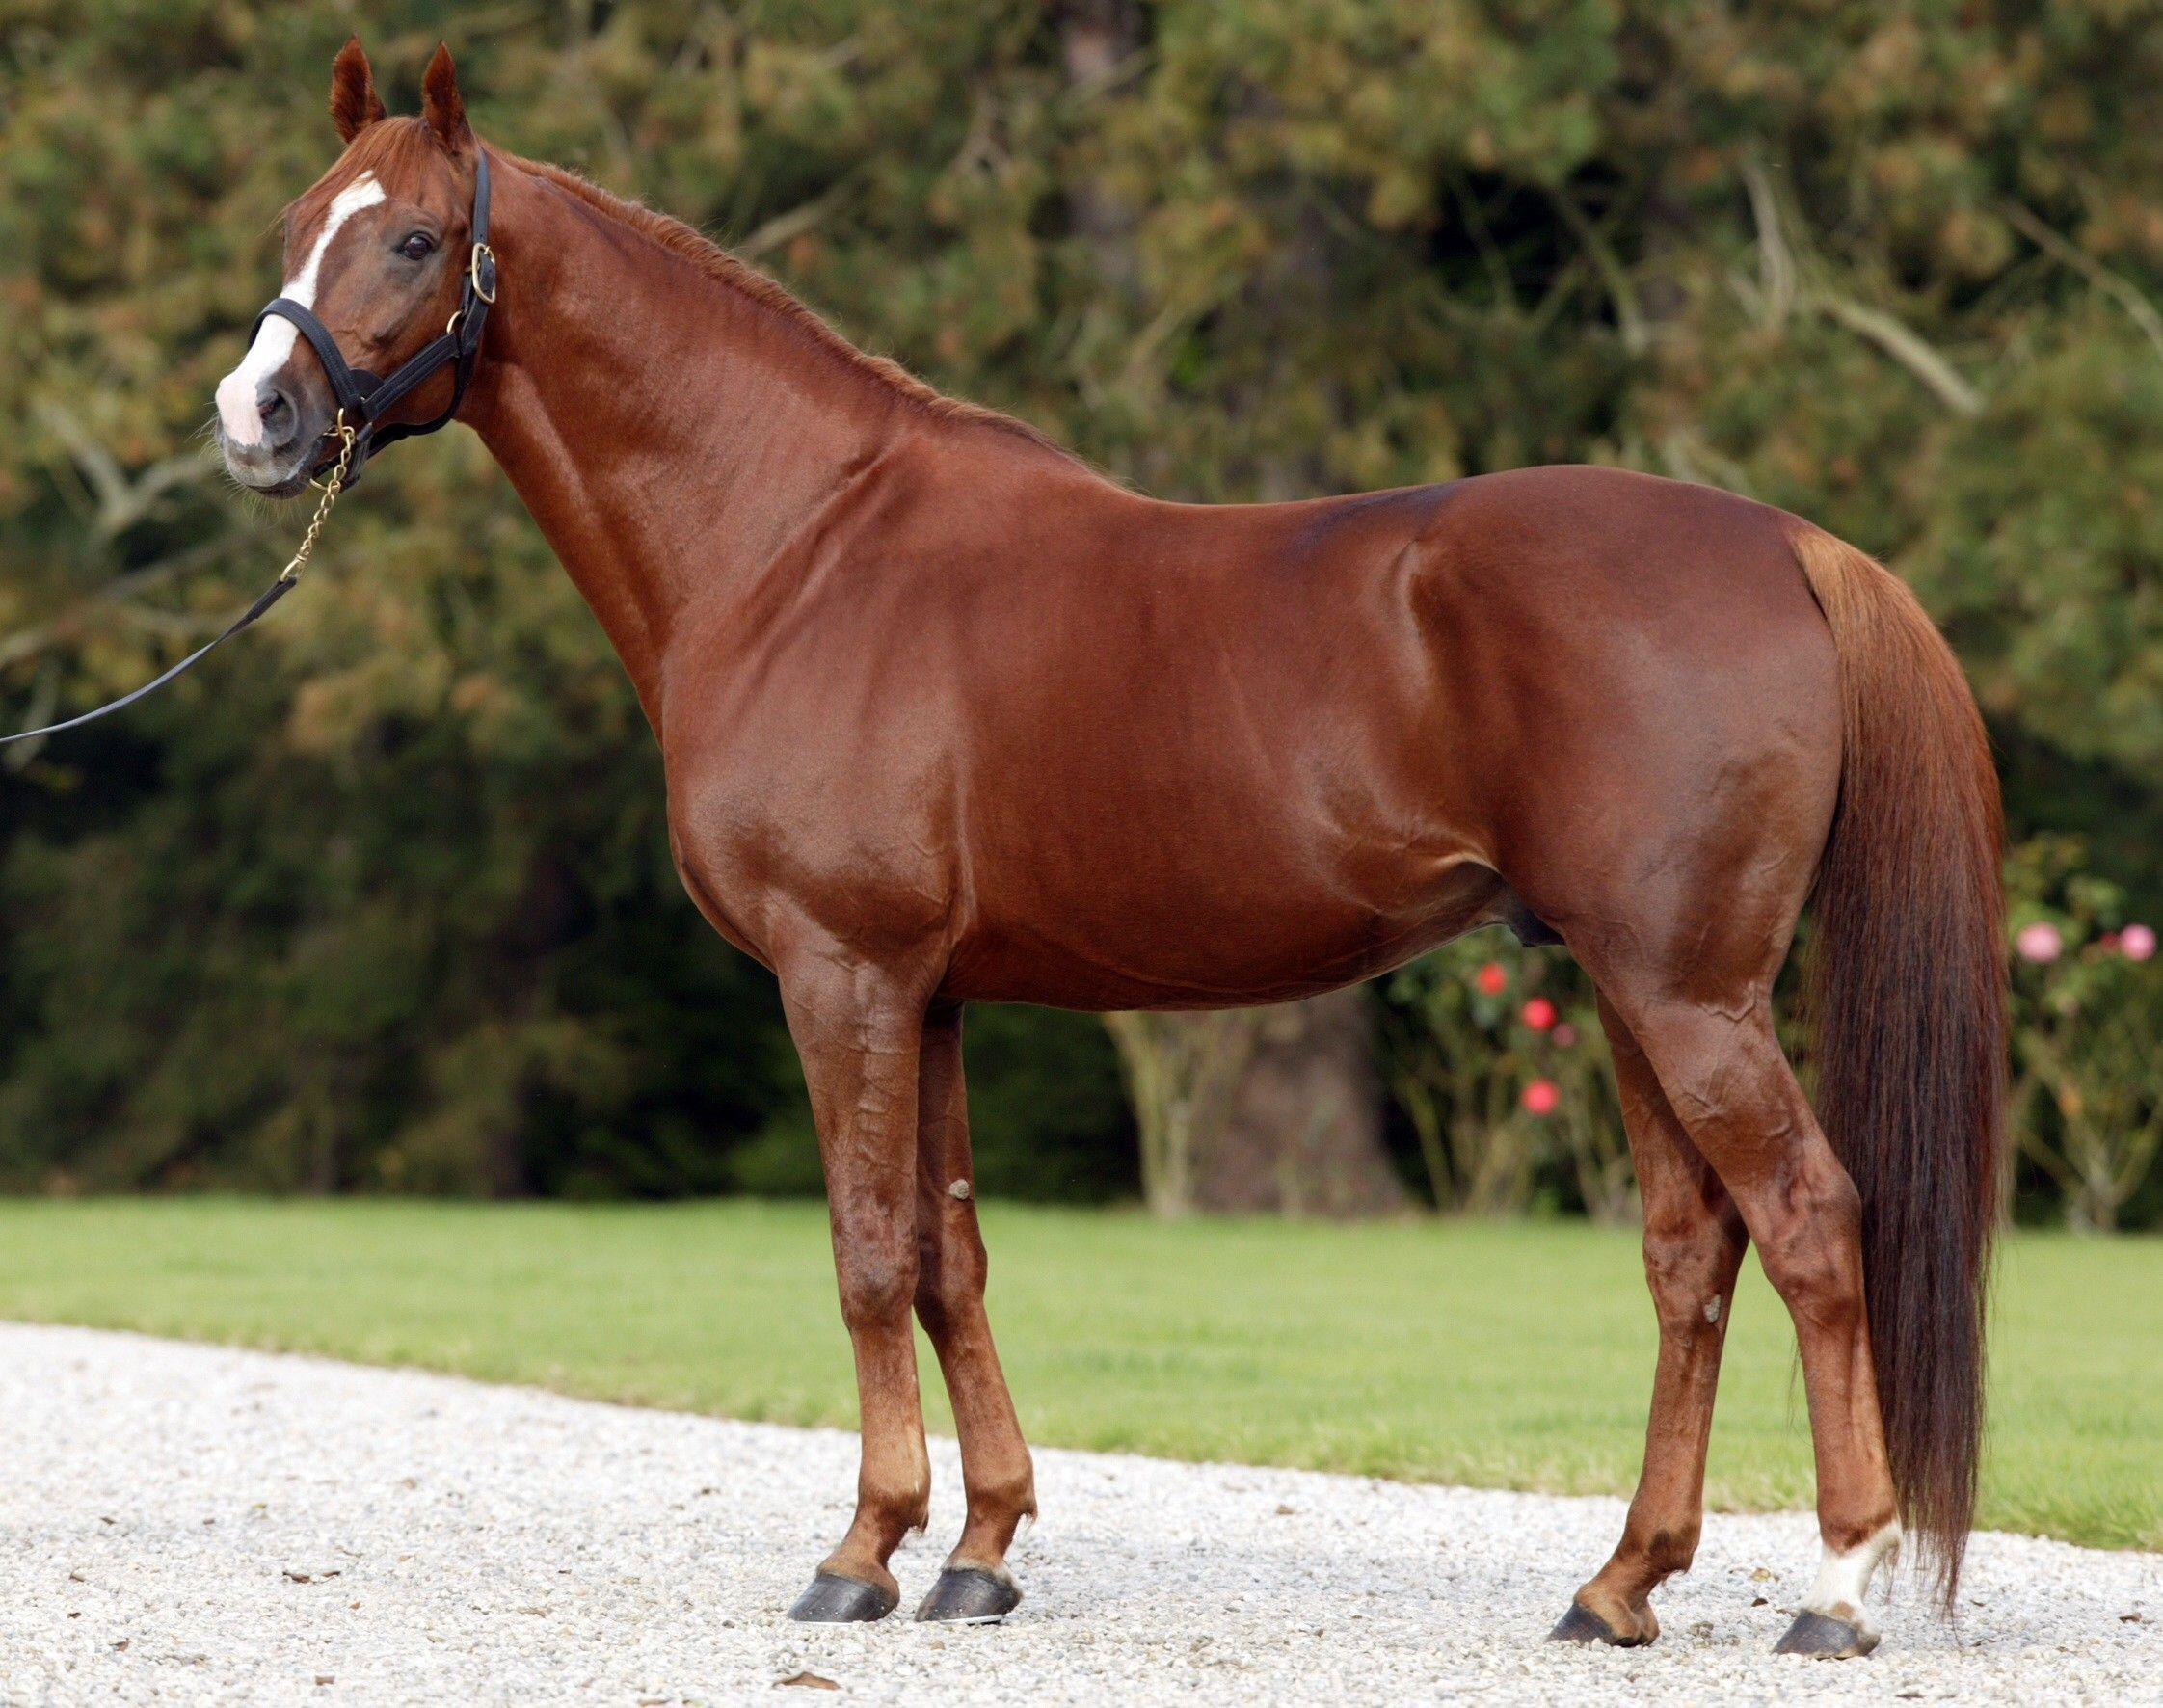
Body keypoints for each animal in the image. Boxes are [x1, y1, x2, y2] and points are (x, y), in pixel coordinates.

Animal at [212, 40, 2005, 1656]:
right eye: (298, 219)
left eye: (412, 239)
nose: (255, 415)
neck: (797, 547)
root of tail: (1792, 545)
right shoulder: (929, 991)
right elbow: (949, 1255)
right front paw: (980, 1550)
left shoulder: (840, 973)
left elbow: (867, 1255)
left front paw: (860, 1554)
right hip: (1636, 991)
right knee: (1691, 1252)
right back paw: (1619, 1582)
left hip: (1686, 992)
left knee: (1808, 1223)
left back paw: (1836, 1587)